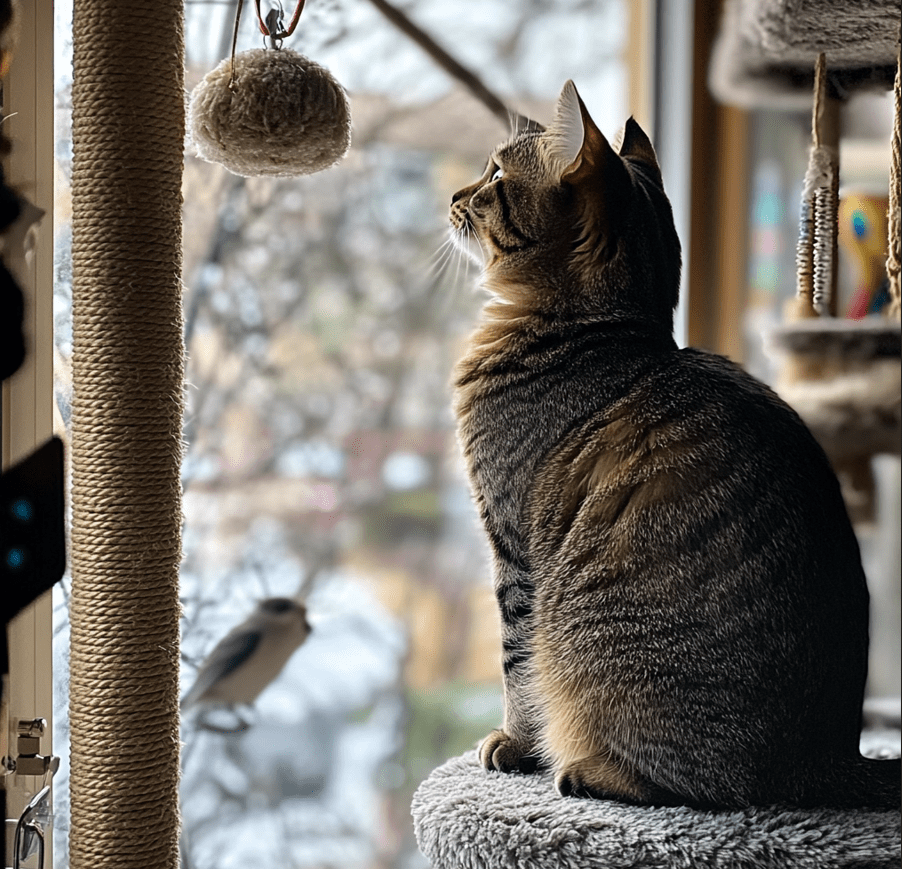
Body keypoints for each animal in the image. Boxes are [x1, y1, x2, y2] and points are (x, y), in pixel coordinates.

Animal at [448, 81, 900, 808]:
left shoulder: (513, 550)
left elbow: (517, 664)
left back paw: (586, 769)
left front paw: (515, 744)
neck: (600, 334)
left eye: (494, 176)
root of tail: (833, 759)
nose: (455, 195)